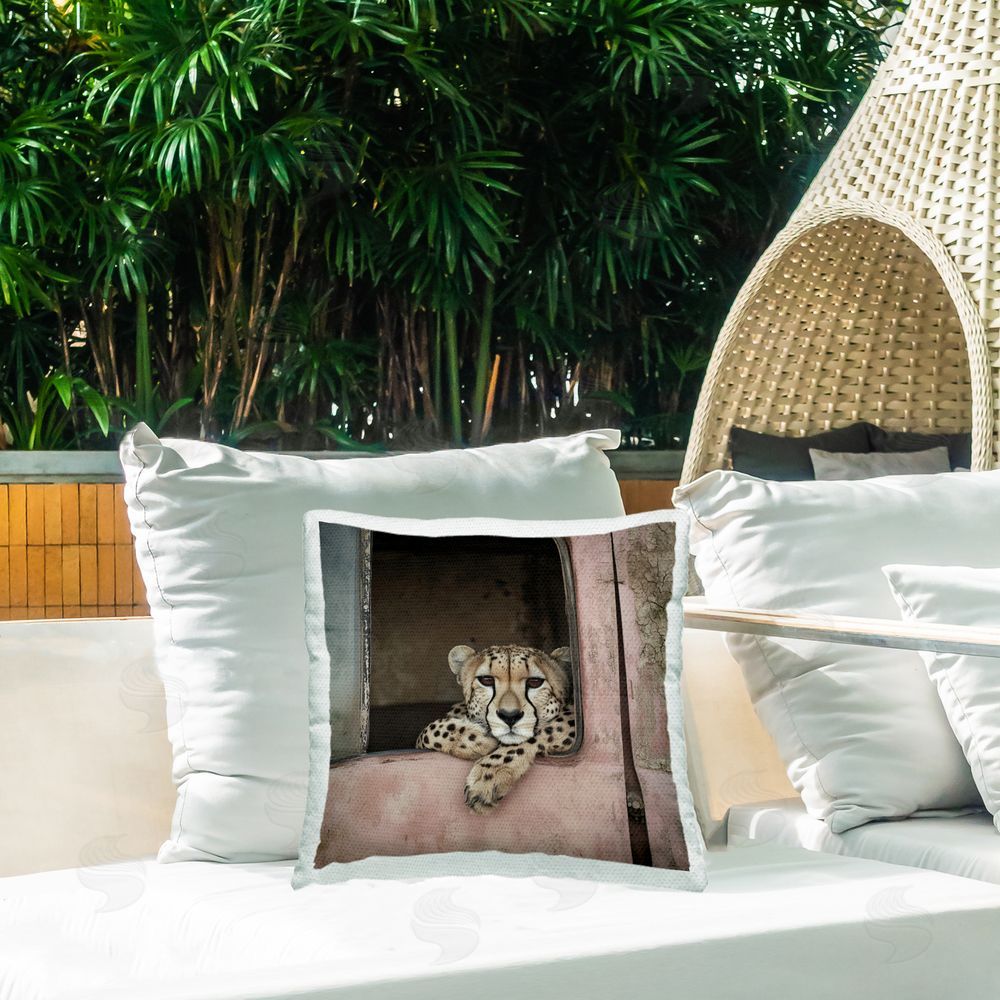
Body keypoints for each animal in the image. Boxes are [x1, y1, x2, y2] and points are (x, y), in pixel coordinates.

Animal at [416, 644, 577, 814]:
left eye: (535, 682)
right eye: (486, 680)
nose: (509, 716)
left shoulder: (571, 717)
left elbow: (538, 733)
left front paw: (488, 775)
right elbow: (425, 733)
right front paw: (475, 738)